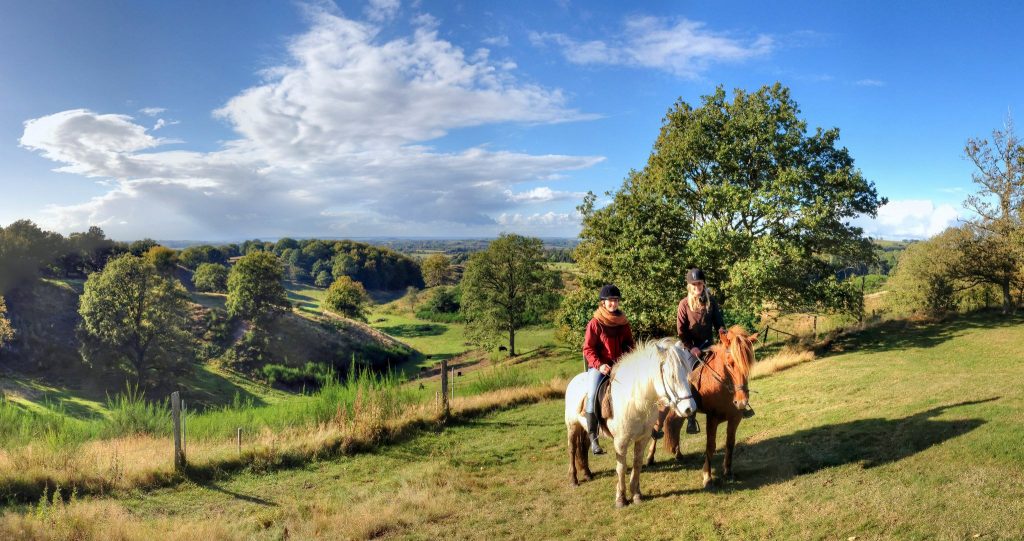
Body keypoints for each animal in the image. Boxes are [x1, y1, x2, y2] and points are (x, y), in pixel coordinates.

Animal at [565, 338, 700, 508]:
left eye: (687, 373)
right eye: (672, 376)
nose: (690, 408)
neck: (636, 401)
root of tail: (575, 380)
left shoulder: (643, 439)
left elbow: (637, 463)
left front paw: (636, 494)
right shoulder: (620, 442)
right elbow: (621, 468)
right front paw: (621, 498)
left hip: (585, 429)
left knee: (584, 446)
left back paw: (588, 473)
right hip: (572, 426)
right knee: (572, 450)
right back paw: (573, 479)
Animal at [643, 325, 757, 489]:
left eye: (749, 363)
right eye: (730, 363)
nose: (741, 402)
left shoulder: (735, 418)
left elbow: (730, 443)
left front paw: (728, 471)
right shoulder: (712, 418)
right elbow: (710, 446)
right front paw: (707, 477)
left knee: (676, 426)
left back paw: (678, 453)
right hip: (662, 408)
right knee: (656, 429)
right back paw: (650, 458)